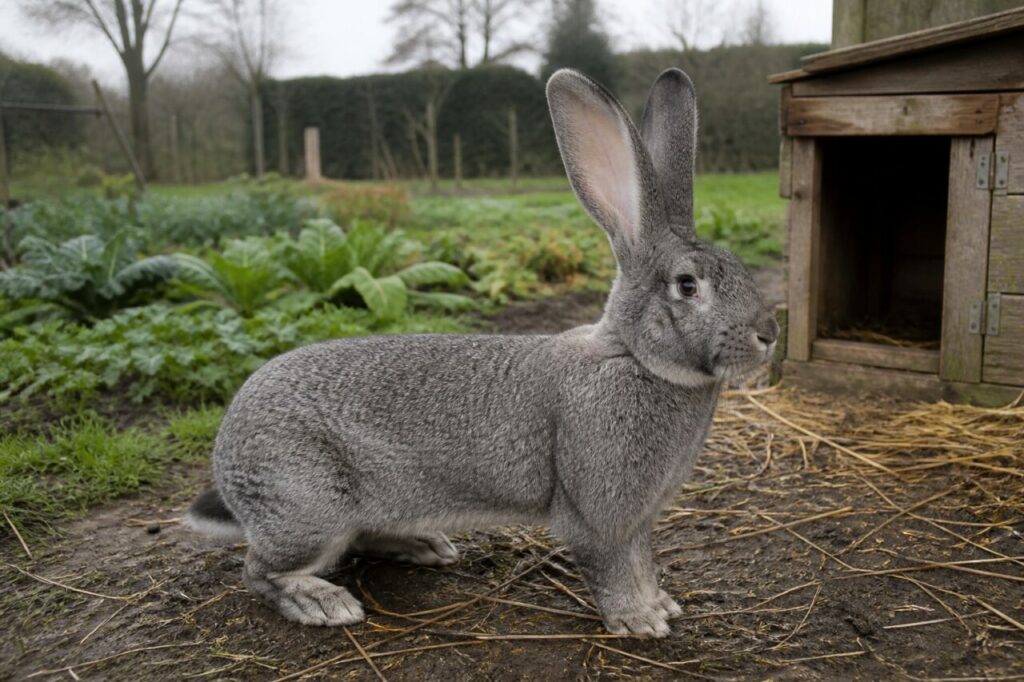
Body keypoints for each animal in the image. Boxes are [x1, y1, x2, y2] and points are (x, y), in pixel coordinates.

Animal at [185, 67, 779, 638]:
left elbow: (644, 562)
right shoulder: (600, 517)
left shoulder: (639, 520)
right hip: (310, 508)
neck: (632, 355)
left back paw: (426, 546)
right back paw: (323, 602)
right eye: (687, 285)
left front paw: (660, 604)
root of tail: (226, 447)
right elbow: (613, 567)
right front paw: (639, 620)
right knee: (261, 571)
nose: (769, 333)